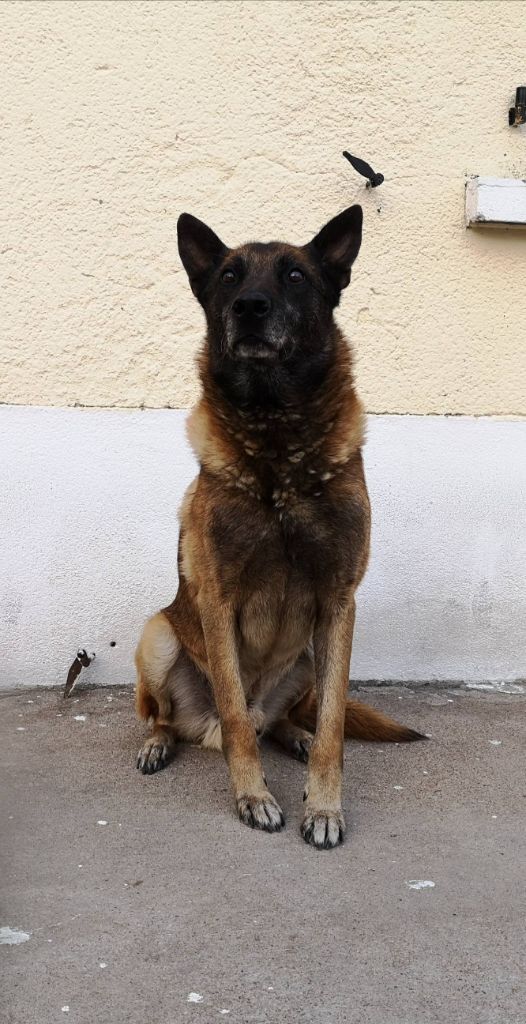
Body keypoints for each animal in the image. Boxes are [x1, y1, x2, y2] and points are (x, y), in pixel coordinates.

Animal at [134, 205, 424, 849]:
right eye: (229, 276)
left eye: (295, 276)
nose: (250, 306)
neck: (276, 437)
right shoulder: (216, 601)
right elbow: (237, 722)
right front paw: (254, 798)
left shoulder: (339, 603)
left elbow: (335, 722)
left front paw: (324, 806)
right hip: (158, 637)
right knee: (182, 717)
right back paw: (159, 744)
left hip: (312, 656)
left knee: (286, 719)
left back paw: (296, 737)